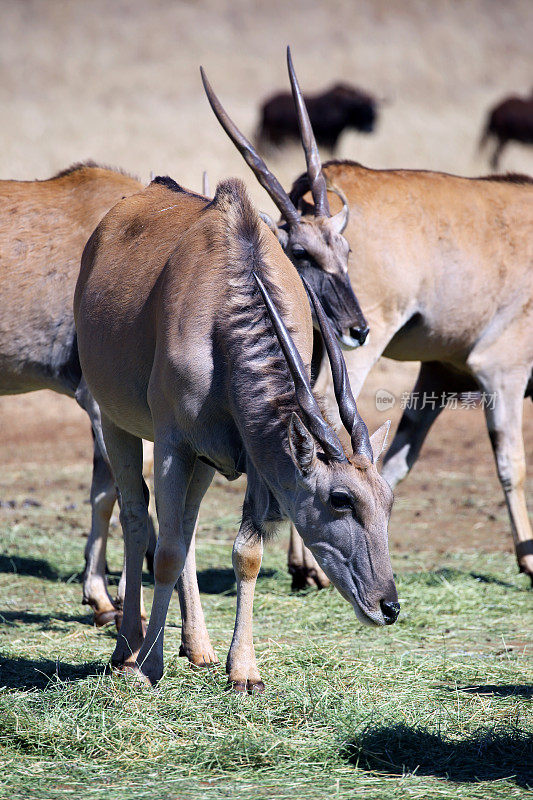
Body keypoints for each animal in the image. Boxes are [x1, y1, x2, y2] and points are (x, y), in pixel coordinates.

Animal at [74, 178, 400, 692]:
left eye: (388, 502)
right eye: (341, 500)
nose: (388, 606)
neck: (222, 312)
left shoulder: (253, 452)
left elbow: (246, 554)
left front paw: (243, 671)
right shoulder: (172, 443)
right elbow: (164, 551)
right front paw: (149, 667)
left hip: (206, 461)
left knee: (184, 525)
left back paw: (198, 647)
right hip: (115, 420)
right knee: (136, 515)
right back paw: (127, 648)